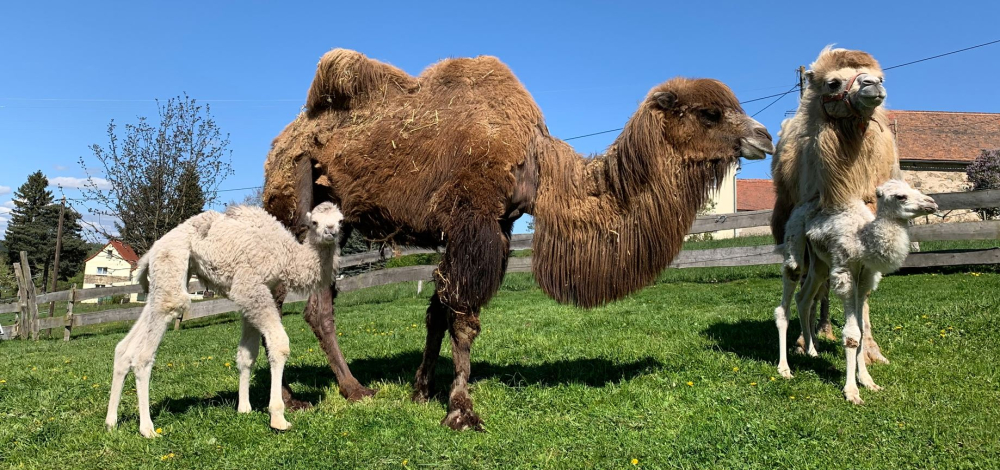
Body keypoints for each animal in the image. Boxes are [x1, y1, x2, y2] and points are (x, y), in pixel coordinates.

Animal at [103, 202, 342, 436]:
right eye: (314, 222)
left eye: (340, 220)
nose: (331, 232)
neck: (285, 255)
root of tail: (153, 249)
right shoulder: (250, 286)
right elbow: (279, 344)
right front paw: (278, 418)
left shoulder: (257, 295)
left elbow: (247, 355)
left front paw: (244, 408)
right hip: (173, 262)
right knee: (145, 352)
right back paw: (147, 428)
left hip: (167, 278)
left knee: (126, 346)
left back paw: (111, 422)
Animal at [264, 48, 772, 430]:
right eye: (710, 113)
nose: (764, 137)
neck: (540, 165)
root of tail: (283, 139)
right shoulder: (476, 222)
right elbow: (462, 317)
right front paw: (461, 410)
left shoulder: (495, 228)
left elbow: (437, 311)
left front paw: (422, 390)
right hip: (290, 202)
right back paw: (296, 399)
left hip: (334, 220)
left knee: (317, 304)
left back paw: (352, 391)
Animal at [768, 46, 904, 364]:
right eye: (833, 83)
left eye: (880, 77)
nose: (873, 85)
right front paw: (806, 342)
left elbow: (862, 291)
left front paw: (872, 351)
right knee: (810, 282)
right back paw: (812, 336)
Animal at [772, 180, 936, 404]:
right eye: (900, 196)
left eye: (914, 189)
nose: (932, 203)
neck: (863, 242)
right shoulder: (845, 274)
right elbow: (851, 334)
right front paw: (852, 392)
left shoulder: (865, 278)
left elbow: (861, 329)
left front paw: (868, 381)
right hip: (795, 241)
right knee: (787, 295)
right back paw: (784, 369)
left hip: (819, 260)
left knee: (804, 298)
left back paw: (812, 352)